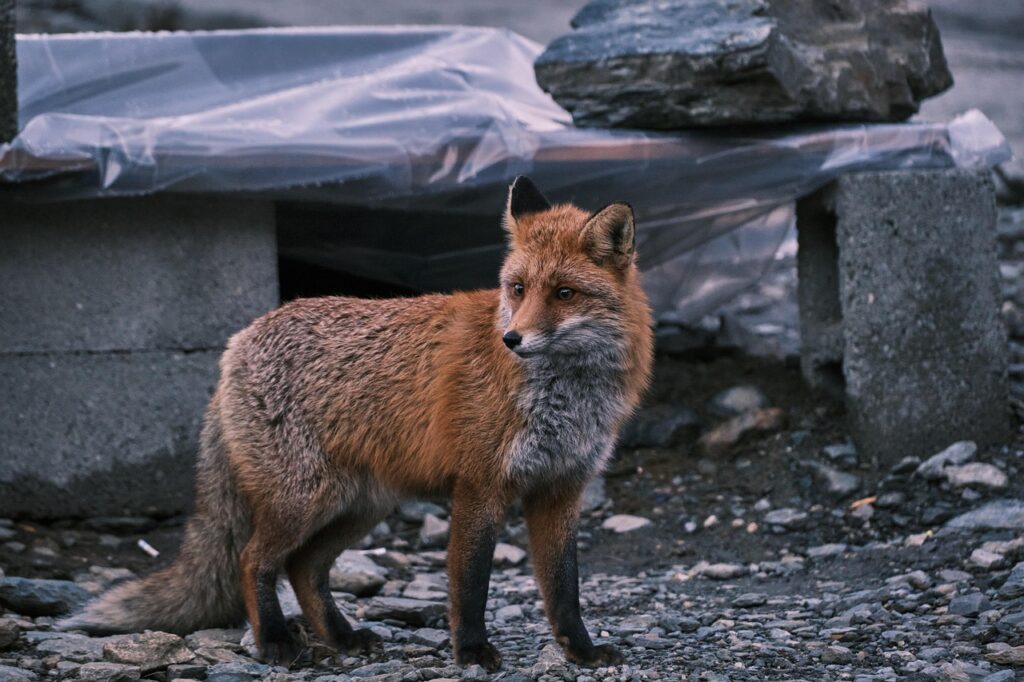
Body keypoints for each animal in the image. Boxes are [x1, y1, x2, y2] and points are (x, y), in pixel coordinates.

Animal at [61, 177, 654, 672]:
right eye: (517, 289)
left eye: (564, 293)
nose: (512, 339)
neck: (566, 396)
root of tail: (238, 341)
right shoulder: (480, 485)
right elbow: (470, 584)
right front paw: (471, 652)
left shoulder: (562, 488)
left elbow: (564, 588)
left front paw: (582, 651)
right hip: (305, 500)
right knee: (254, 560)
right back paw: (275, 642)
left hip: (358, 506)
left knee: (304, 569)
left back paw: (342, 638)